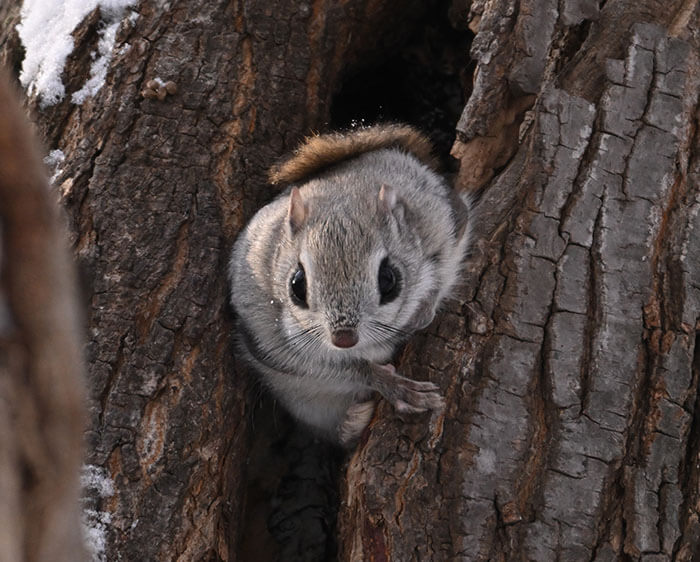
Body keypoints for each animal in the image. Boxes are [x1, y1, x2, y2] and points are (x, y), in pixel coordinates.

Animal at [228, 123, 470, 446]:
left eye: (389, 280)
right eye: (296, 286)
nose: (343, 338)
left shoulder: (446, 224)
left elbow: (444, 272)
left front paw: (422, 311)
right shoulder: (267, 339)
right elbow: (341, 370)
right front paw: (391, 384)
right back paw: (352, 424)